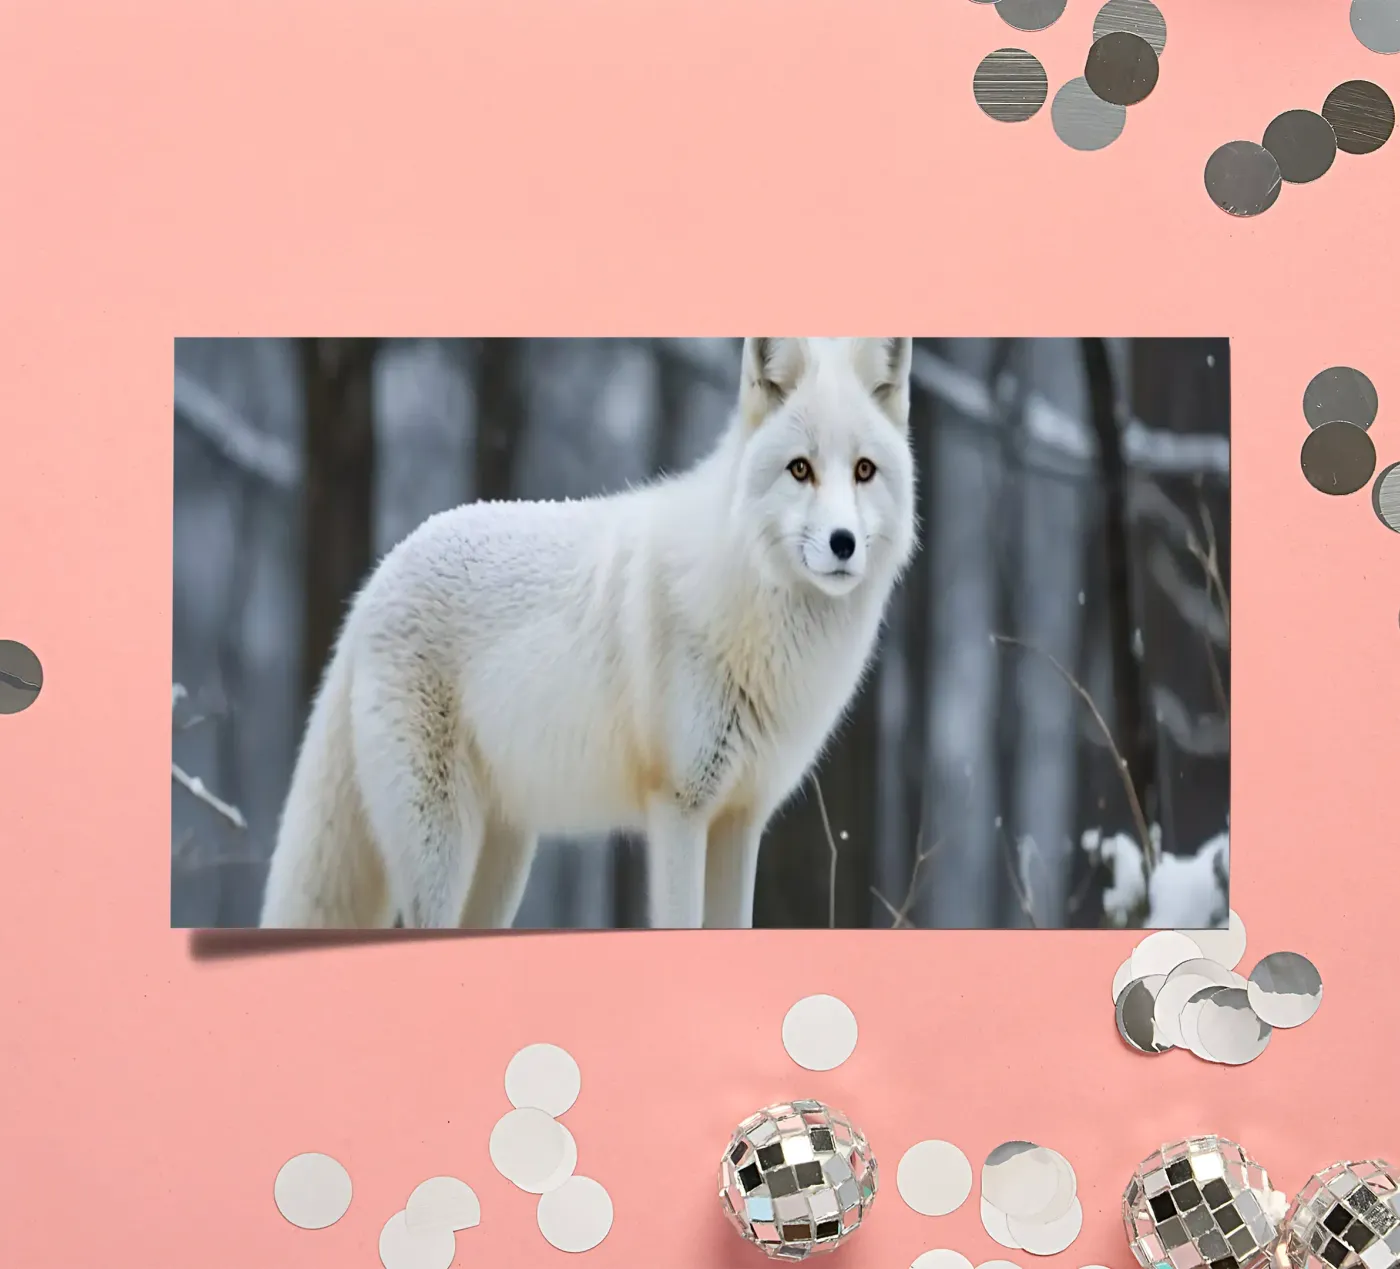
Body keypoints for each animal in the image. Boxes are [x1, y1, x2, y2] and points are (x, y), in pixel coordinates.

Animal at [259, 337, 918, 930]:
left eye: (864, 471)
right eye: (800, 469)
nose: (842, 543)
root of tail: (377, 576)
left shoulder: (741, 818)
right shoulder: (680, 811)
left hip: (504, 859)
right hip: (441, 850)